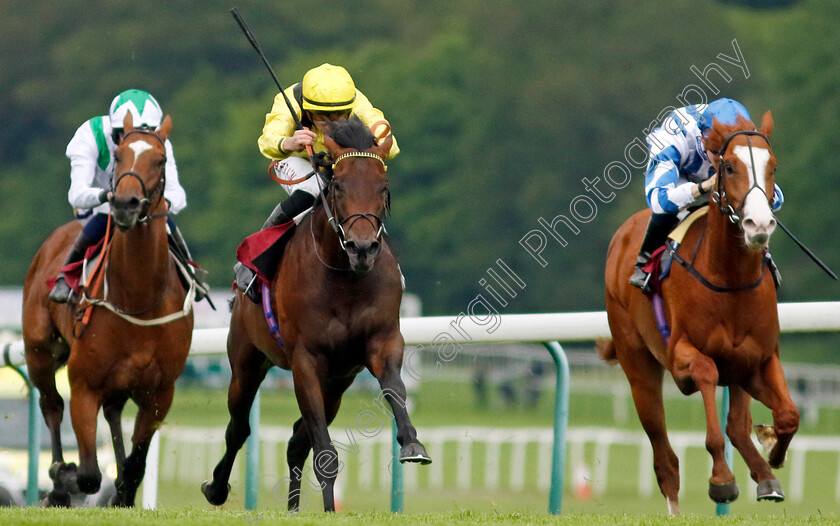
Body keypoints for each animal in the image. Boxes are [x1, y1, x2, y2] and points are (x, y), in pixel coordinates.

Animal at [21, 113, 194, 510]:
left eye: (161, 160)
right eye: (118, 156)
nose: (126, 204)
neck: (139, 299)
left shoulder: (161, 392)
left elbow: (135, 462)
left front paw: (124, 493)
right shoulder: (84, 385)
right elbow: (87, 473)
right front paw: (65, 474)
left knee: (114, 413)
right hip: (38, 351)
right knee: (51, 406)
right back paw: (57, 485)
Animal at [200, 116, 430, 516]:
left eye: (383, 187)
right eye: (338, 185)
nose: (362, 248)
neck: (344, 276)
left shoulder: (381, 342)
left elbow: (394, 389)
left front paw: (412, 443)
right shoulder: (305, 359)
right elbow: (324, 451)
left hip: (337, 383)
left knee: (296, 440)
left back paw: (293, 508)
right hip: (246, 362)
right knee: (238, 428)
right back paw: (216, 488)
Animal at [600, 112, 796, 516]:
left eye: (772, 166)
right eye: (730, 166)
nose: (759, 225)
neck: (730, 279)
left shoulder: (759, 359)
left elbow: (788, 415)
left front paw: (774, 453)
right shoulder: (680, 357)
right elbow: (706, 374)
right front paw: (722, 480)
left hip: (738, 368)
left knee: (737, 424)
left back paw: (763, 473)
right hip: (639, 369)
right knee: (665, 460)